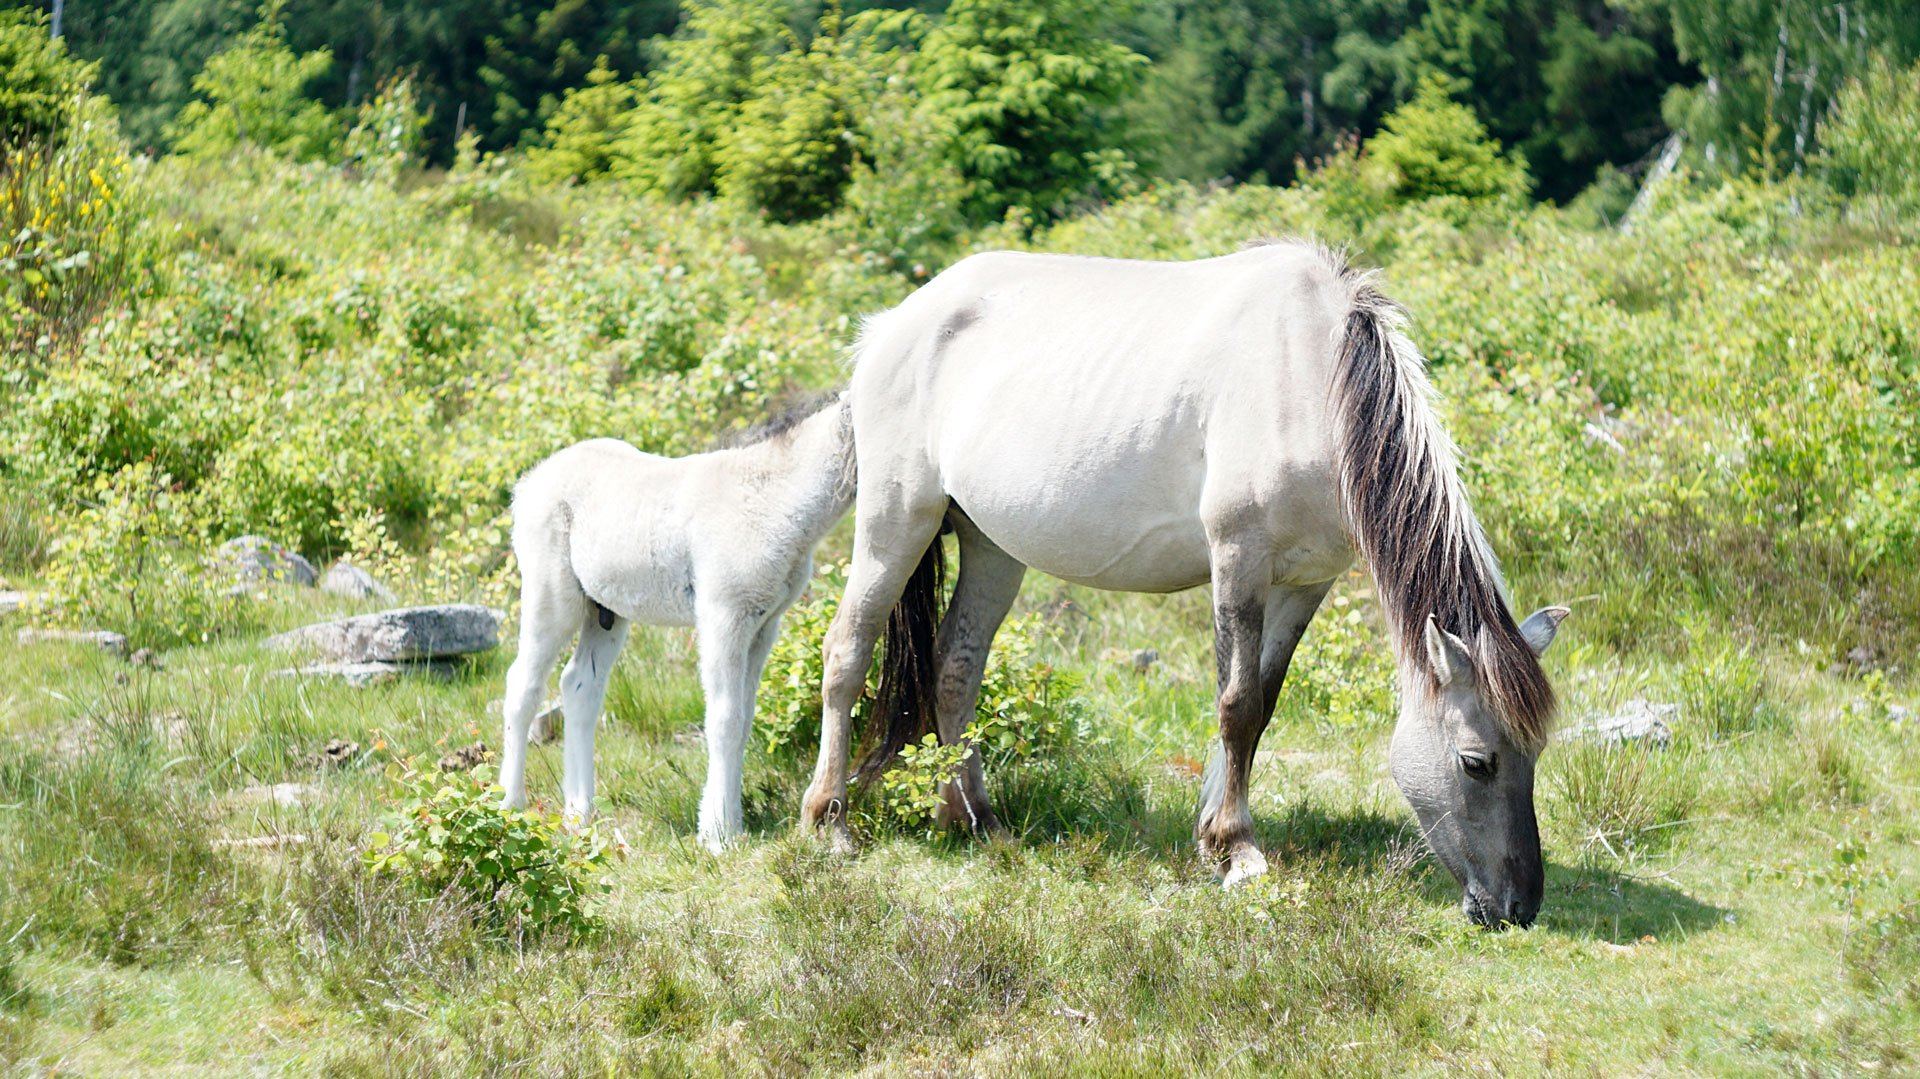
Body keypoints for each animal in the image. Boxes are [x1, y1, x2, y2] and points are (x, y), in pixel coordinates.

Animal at [499, 387, 852, 848]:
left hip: (605, 611)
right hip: (551, 597)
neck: (773, 496)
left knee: (578, 687)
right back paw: (509, 807)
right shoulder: (723, 614)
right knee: (522, 686)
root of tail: (530, 482)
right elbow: (724, 718)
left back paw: (580, 815)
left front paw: (733, 825)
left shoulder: (764, 624)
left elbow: (745, 718)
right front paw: (718, 836)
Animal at [802, 241, 1566, 925]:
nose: (1518, 907)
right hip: (897, 520)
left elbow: (1262, 705)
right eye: (1476, 762)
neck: (1312, 377)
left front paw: (1213, 836)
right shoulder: (1237, 559)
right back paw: (830, 823)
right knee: (847, 650)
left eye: (1535, 753)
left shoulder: (1305, 582)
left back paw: (973, 818)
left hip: (991, 546)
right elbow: (1236, 704)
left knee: (956, 668)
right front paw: (1239, 851)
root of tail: (892, 325)